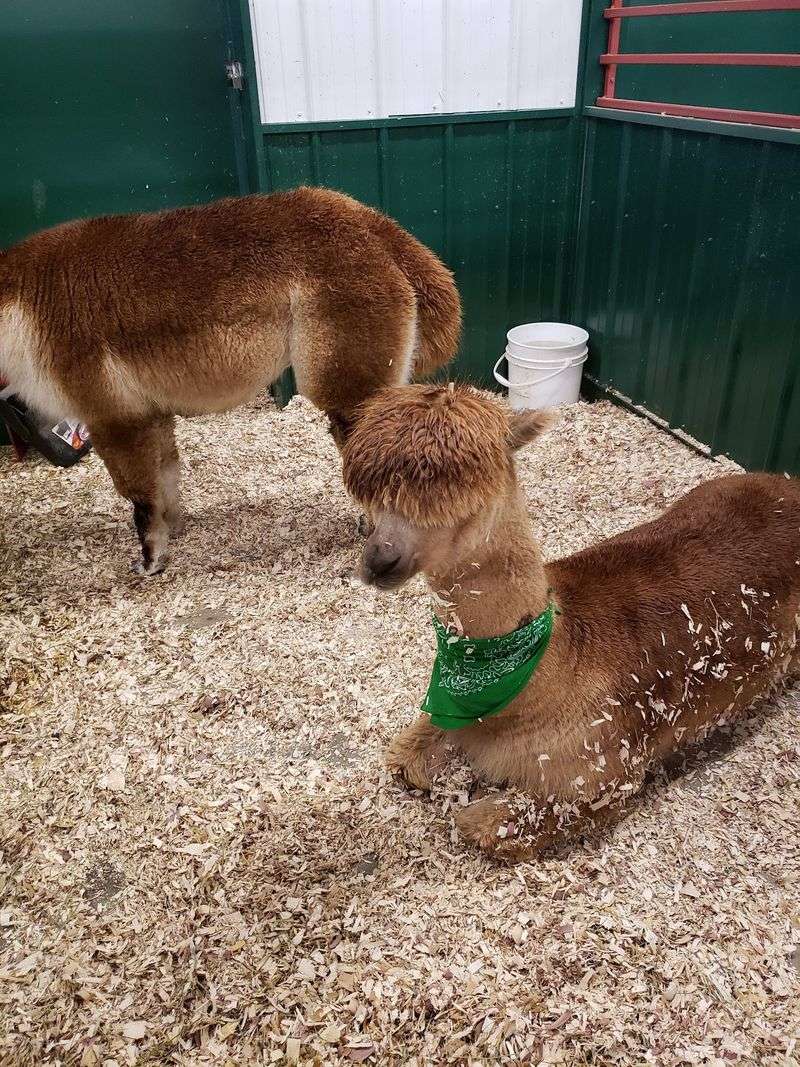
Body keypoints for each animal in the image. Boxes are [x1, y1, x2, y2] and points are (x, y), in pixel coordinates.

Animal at [0, 187, 460, 575]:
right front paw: (176, 528)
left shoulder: (111, 411)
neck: (23, 307)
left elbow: (140, 497)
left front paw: (149, 561)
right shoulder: (150, 407)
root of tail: (380, 229)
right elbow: (167, 474)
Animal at [341, 383, 800, 859]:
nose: (379, 561)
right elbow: (402, 758)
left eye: (467, 505)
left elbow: (475, 823)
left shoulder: (600, 772)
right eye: (368, 498)